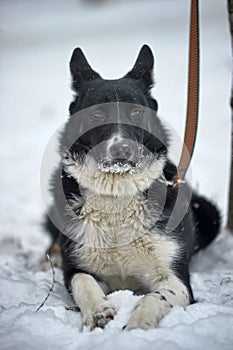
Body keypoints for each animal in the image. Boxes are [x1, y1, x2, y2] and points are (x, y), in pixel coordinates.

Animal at [45, 45, 220, 330]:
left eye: (136, 112)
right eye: (97, 114)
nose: (122, 149)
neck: (117, 193)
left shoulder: (176, 277)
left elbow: (158, 296)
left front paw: (139, 323)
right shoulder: (77, 268)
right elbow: (84, 282)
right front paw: (97, 310)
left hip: (208, 212)